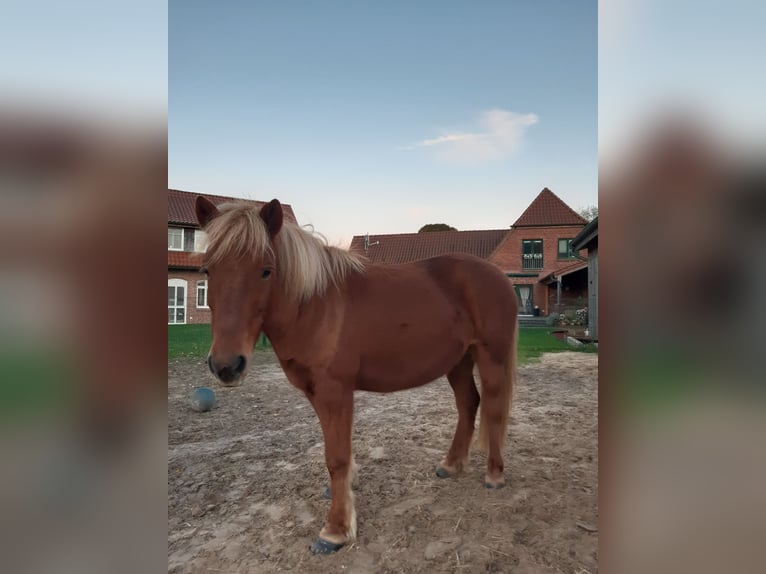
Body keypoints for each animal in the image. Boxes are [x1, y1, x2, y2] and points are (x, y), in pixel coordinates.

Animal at [196, 197, 520, 552]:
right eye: (208, 270)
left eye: (266, 271)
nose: (227, 365)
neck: (315, 306)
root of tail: (499, 277)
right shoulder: (316, 392)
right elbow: (336, 451)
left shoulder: (335, 391)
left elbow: (336, 457)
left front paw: (335, 529)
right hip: (458, 361)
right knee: (468, 404)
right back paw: (451, 464)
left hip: (490, 357)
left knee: (493, 407)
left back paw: (494, 475)